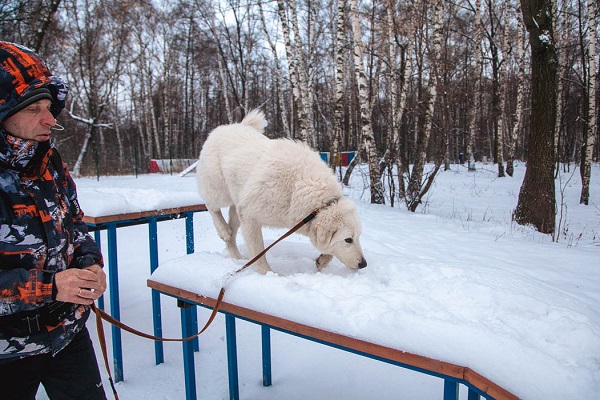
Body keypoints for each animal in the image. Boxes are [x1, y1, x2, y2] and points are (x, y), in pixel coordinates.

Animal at [196, 108, 366, 274]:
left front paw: (322, 261)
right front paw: (267, 273)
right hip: (219, 191)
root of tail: (227, 127)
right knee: (211, 206)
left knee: (232, 233)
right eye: (348, 240)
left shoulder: (246, 211)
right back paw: (223, 231)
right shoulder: (249, 215)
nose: (363, 264)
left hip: (237, 203)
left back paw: (237, 257)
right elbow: (258, 251)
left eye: (358, 237)